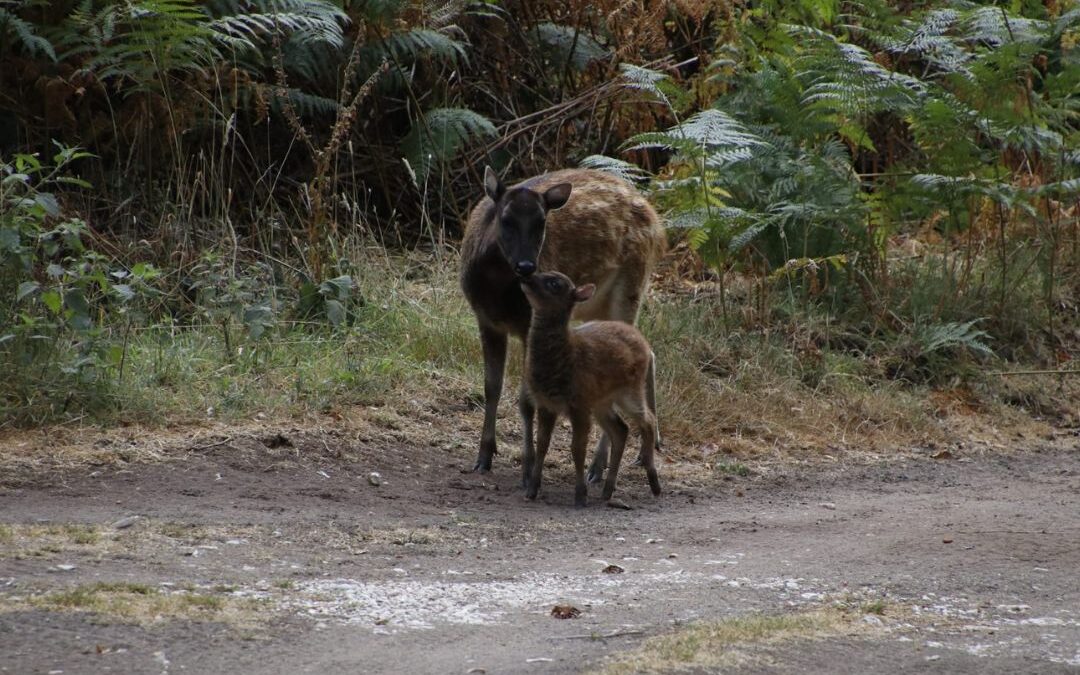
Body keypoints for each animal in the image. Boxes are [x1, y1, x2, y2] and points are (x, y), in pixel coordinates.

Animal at [520, 271, 661, 507]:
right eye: (542, 272)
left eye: (555, 283)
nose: (526, 276)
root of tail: (644, 343)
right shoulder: (546, 403)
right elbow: (542, 444)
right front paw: (532, 489)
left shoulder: (579, 403)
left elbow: (577, 448)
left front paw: (580, 495)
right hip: (602, 402)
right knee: (621, 429)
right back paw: (607, 490)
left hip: (630, 390)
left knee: (647, 420)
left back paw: (654, 483)